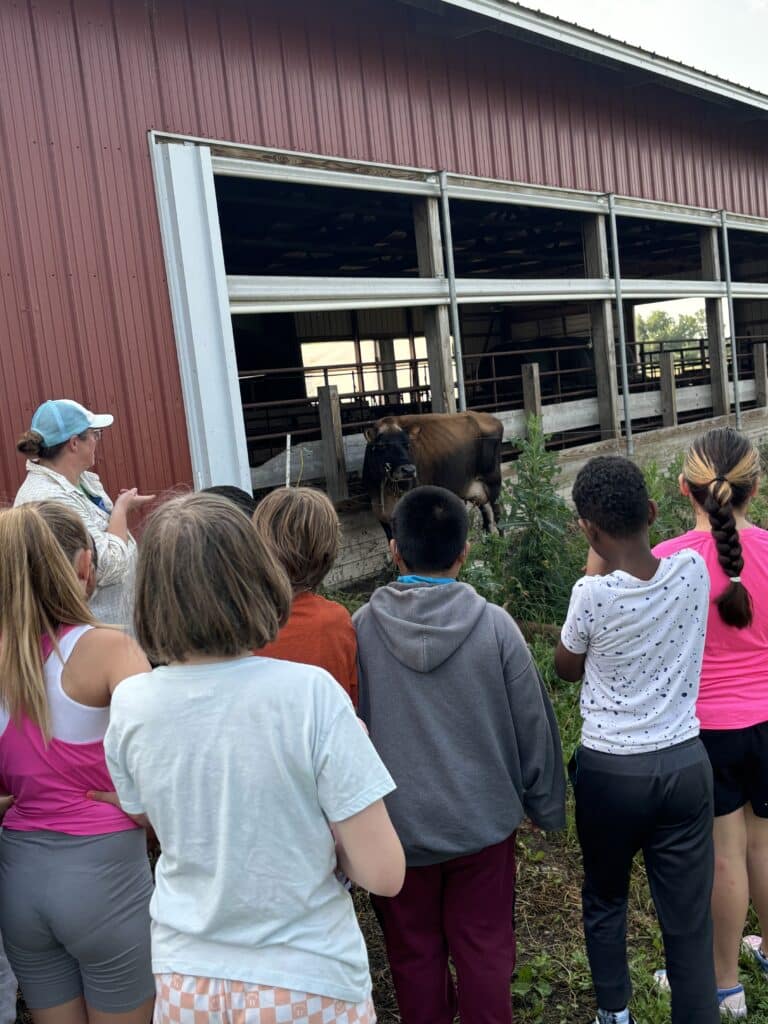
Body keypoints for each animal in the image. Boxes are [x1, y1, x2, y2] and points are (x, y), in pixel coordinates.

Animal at [364, 409, 507, 540]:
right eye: (381, 445)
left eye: (408, 444)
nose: (409, 470)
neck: (384, 491)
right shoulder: (381, 516)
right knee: (486, 514)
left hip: (493, 481)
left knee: (498, 512)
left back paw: (502, 541)